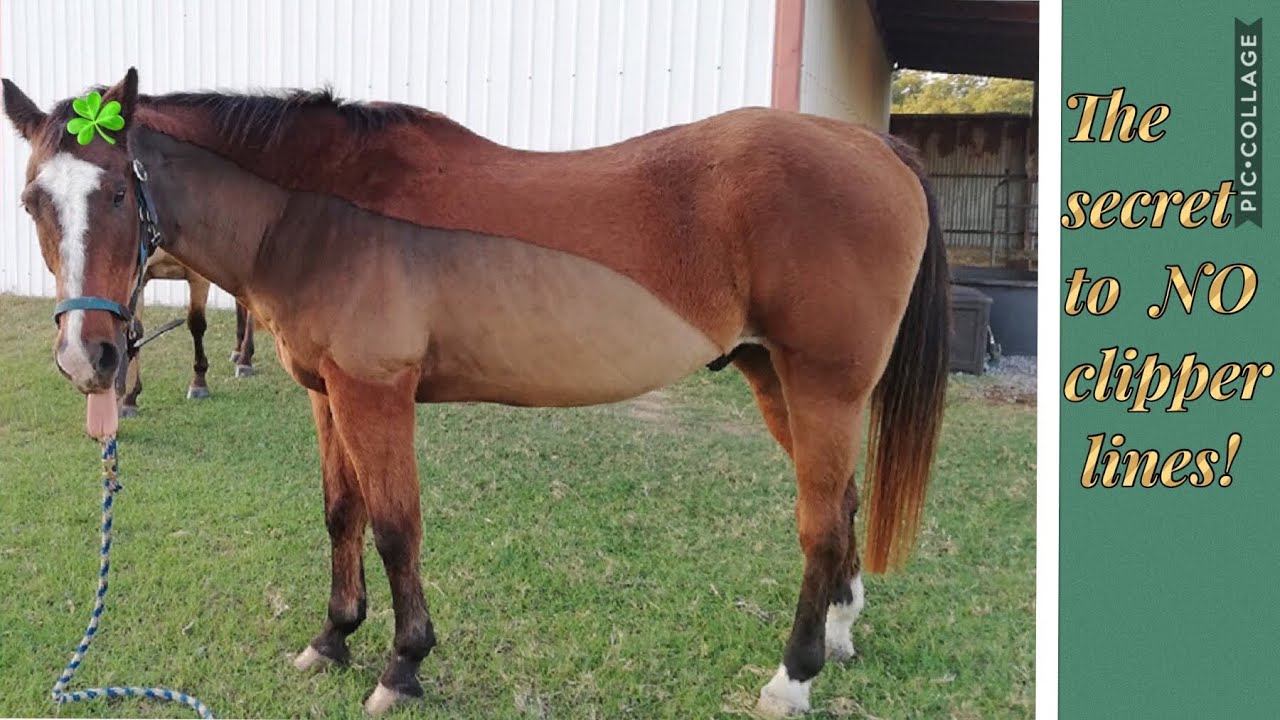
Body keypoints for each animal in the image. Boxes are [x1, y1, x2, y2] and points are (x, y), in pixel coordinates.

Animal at [120, 248, 256, 416]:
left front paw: (199, 383)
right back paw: (238, 351)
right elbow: (136, 332)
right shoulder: (140, 278)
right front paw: (129, 399)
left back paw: (245, 361)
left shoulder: (198, 277)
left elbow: (196, 325)